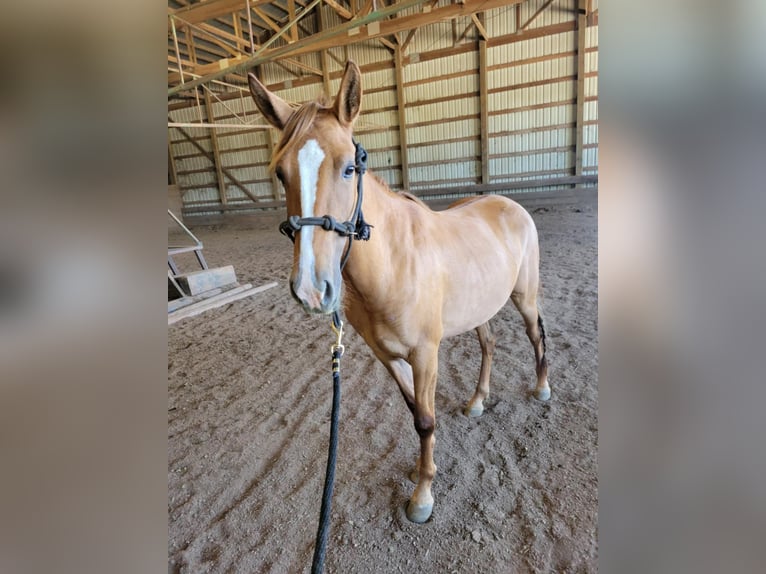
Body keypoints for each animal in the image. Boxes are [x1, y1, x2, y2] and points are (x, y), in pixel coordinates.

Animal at [248, 61, 550, 524]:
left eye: (349, 168)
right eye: (281, 173)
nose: (312, 289)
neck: (394, 263)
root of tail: (508, 204)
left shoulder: (425, 353)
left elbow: (426, 420)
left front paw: (422, 497)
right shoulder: (388, 356)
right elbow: (416, 413)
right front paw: (422, 468)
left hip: (525, 297)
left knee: (535, 335)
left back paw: (542, 388)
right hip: (479, 307)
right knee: (489, 343)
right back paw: (477, 401)